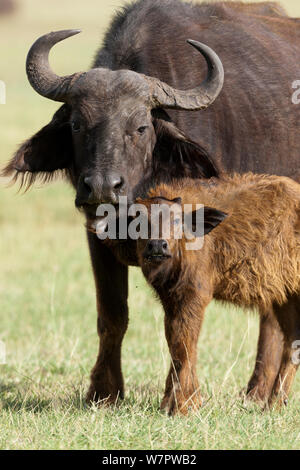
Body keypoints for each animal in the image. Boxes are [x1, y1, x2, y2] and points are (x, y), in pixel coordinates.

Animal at [136, 173, 300, 414]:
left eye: (176, 221)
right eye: (137, 221)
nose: (157, 245)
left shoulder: (194, 296)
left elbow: (184, 344)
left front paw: (184, 406)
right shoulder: (170, 299)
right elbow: (175, 343)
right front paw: (170, 403)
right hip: (285, 298)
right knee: (293, 343)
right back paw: (273, 405)